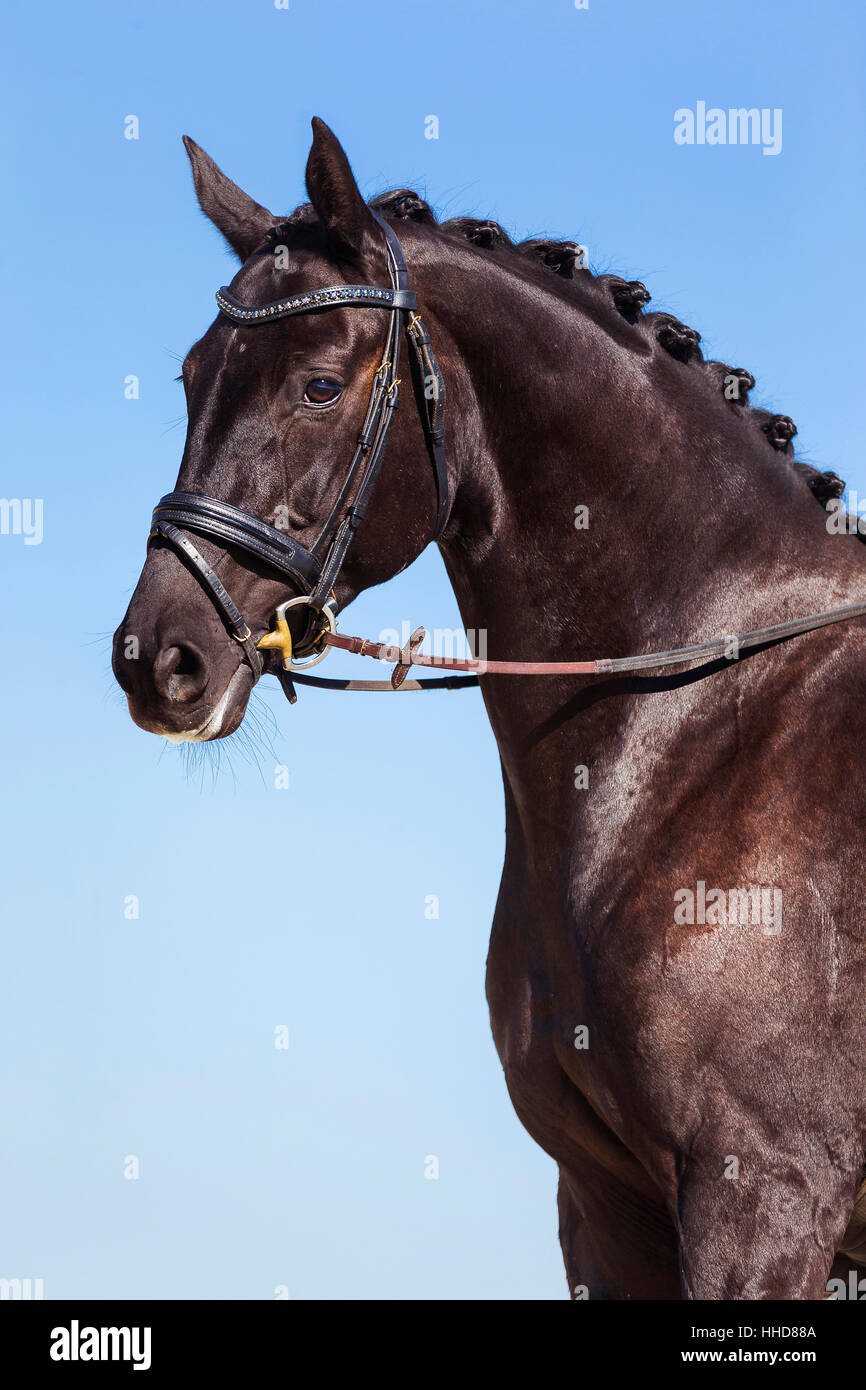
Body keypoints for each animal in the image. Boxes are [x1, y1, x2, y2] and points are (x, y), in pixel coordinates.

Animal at [113, 119, 866, 1301]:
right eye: (191, 379)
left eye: (318, 386)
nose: (157, 660)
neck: (696, 716)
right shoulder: (603, 1207)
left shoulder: (762, 1198)